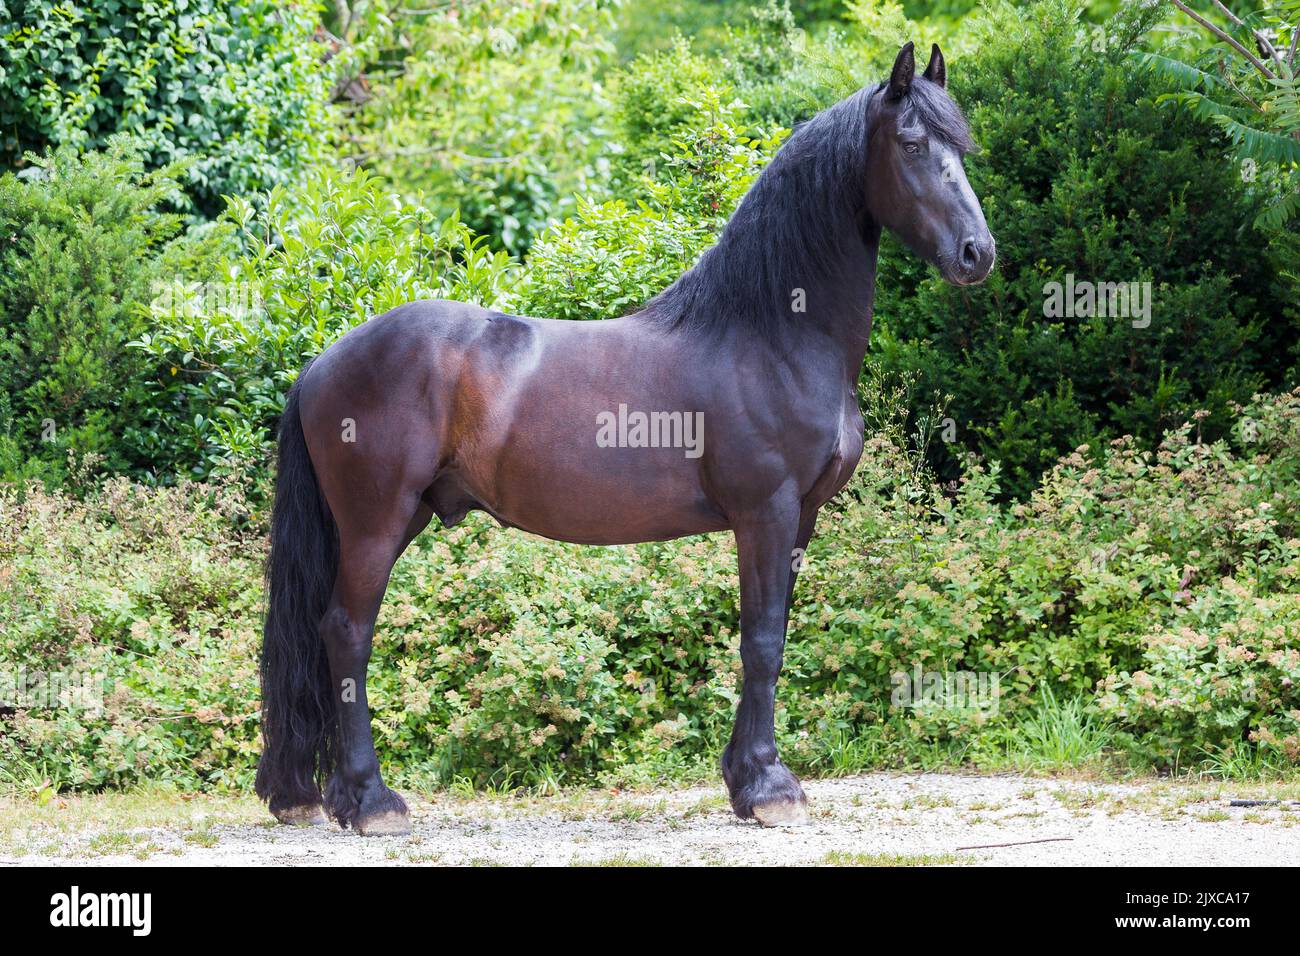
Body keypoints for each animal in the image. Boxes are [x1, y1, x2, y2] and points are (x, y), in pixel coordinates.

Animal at [253, 42, 993, 837]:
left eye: (960, 147)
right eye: (911, 145)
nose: (977, 253)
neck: (769, 332)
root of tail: (322, 364)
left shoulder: (802, 518)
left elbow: (769, 637)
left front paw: (744, 779)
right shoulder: (765, 512)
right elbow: (762, 641)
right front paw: (770, 788)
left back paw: (328, 797)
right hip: (376, 523)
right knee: (346, 634)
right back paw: (372, 801)